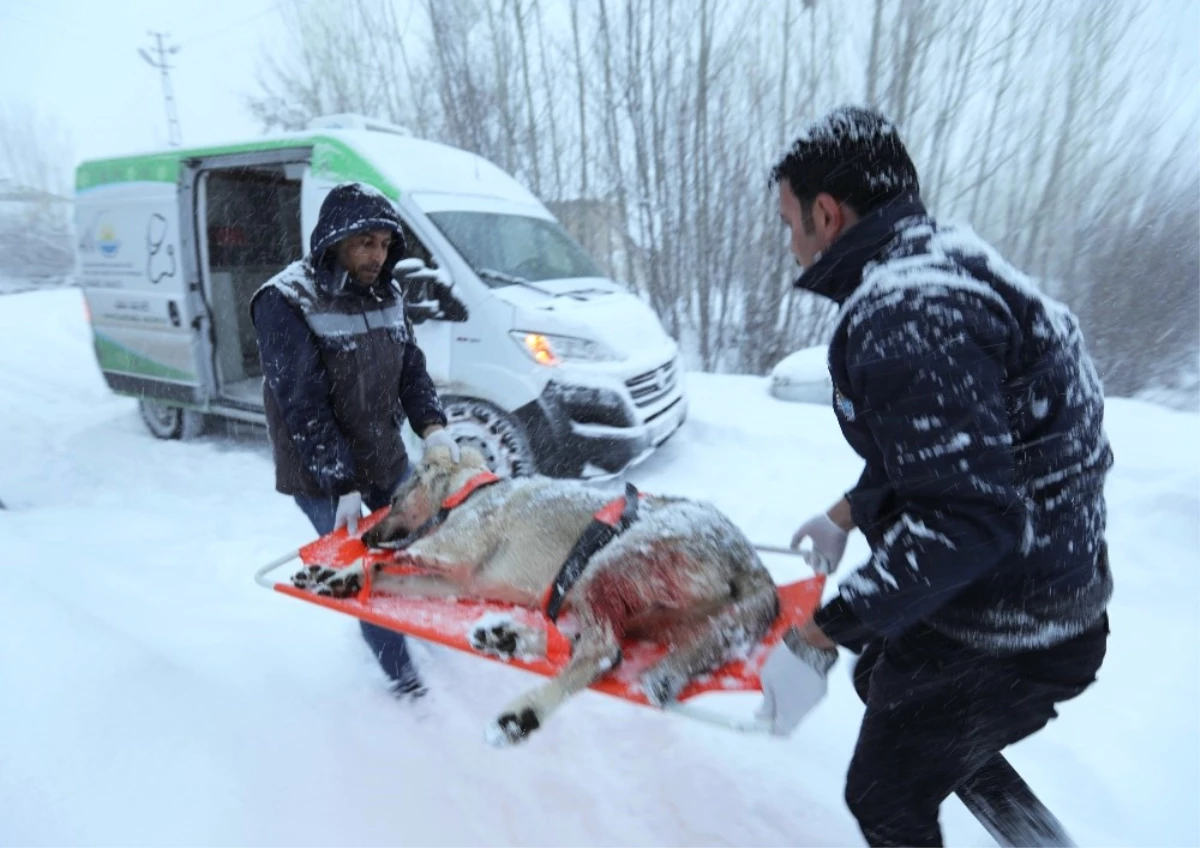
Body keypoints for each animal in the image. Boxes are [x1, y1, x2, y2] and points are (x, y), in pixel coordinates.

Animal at [291, 443, 777, 743]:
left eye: (393, 499)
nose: (366, 536)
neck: (469, 492)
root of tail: (755, 566)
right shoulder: (452, 580)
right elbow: (384, 571)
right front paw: (338, 574)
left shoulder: (445, 550)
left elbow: (388, 558)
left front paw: (339, 573)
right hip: (614, 598)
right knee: (588, 642)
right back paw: (506, 638)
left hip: (607, 562)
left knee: (604, 651)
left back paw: (522, 713)